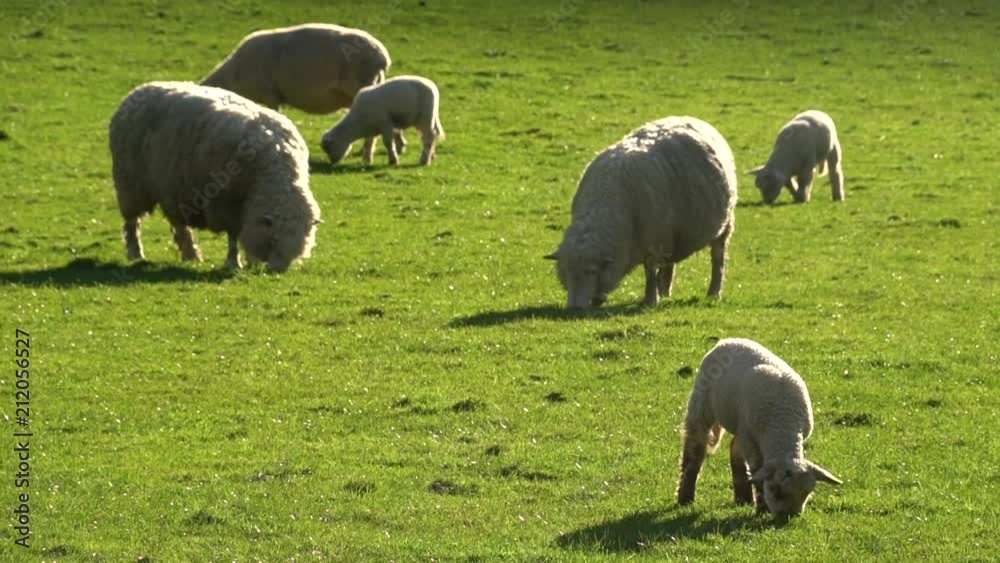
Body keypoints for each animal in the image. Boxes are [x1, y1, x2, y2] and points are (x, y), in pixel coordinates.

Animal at [109, 81, 322, 273]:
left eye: (300, 244)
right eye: (274, 239)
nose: (277, 271)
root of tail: (139, 90)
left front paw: (251, 262)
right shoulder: (227, 206)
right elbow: (234, 236)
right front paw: (234, 263)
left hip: (172, 188)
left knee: (179, 224)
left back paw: (191, 255)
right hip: (130, 184)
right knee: (132, 222)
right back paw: (135, 253)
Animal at [545, 116, 737, 309]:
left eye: (591, 272)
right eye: (565, 272)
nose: (574, 308)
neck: (604, 203)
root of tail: (691, 118)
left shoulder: (653, 241)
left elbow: (650, 272)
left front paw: (650, 300)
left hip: (723, 225)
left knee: (718, 260)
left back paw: (713, 293)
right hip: (673, 234)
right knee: (670, 263)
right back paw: (665, 293)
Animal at [677, 338, 842, 516]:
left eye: (807, 493)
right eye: (774, 490)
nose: (788, 517)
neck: (782, 424)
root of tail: (729, 340)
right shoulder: (751, 440)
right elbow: (757, 469)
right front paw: (763, 508)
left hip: (741, 426)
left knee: (734, 449)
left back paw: (743, 498)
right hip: (702, 404)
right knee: (694, 450)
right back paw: (685, 497)